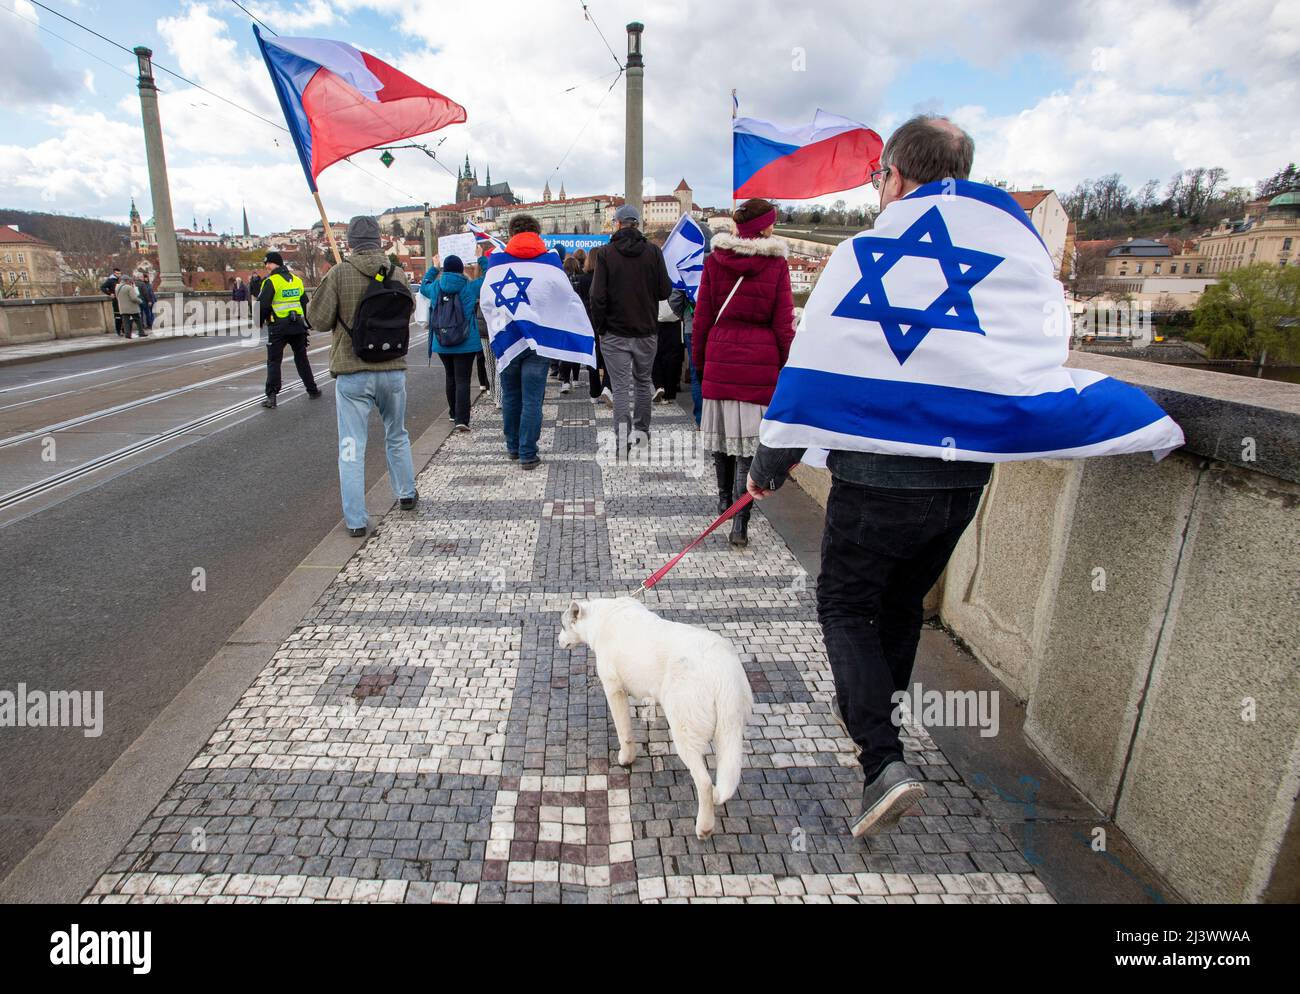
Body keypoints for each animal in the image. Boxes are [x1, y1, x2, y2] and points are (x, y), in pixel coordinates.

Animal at [556, 597, 754, 836]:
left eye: (563, 626)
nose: (557, 641)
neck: (602, 617)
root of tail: (722, 674)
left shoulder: (614, 690)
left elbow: (625, 733)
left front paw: (626, 758)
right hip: (727, 731)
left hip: (685, 733)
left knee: (704, 782)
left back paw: (704, 827)